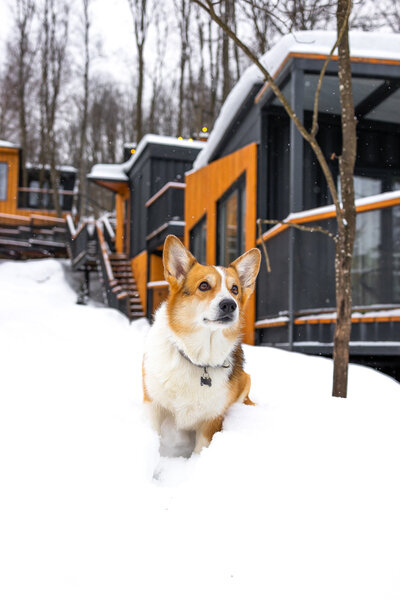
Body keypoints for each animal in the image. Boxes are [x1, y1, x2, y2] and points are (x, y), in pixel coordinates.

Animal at [142, 234, 261, 454]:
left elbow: (200, 450)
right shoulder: (153, 404)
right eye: (204, 285)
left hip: (246, 380)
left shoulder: (211, 420)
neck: (196, 356)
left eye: (234, 289)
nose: (229, 305)